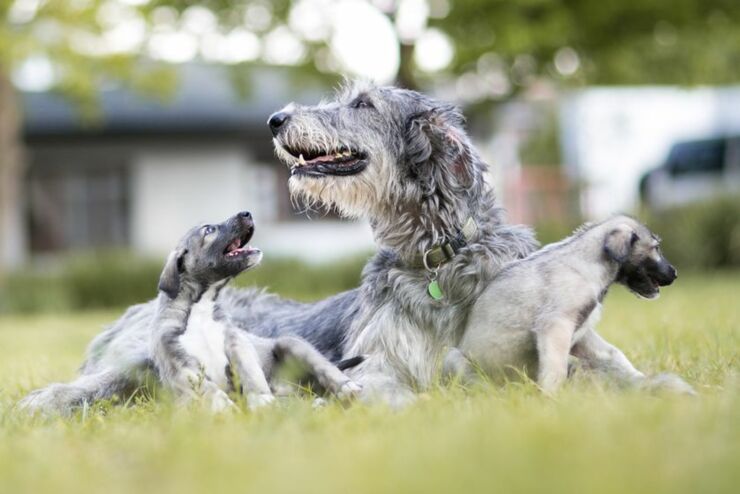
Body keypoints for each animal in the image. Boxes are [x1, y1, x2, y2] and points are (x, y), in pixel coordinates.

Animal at [18, 82, 536, 412]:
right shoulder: (379, 358)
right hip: (142, 355)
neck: (435, 261)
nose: (276, 119)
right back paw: (41, 403)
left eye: (363, 103)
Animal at [448, 214, 696, 396]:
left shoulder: (582, 333)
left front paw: (646, 381)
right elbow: (555, 367)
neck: (586, 266)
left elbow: (613, 355)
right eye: (656, 247)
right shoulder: (556, 325)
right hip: (453, 359)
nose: (675, 273)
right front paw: (552, 398)